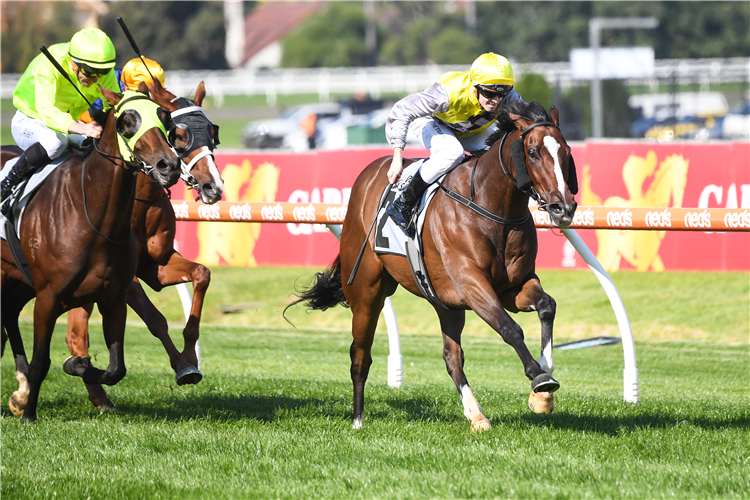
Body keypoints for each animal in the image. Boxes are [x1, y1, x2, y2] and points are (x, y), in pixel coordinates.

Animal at [0, 86, 181, 422]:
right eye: (127, 122)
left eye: (165, 118)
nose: (169, 166)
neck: (93, 219)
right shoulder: (48, 297)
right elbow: (41, 361)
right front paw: (30, 414)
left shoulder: (113, 297)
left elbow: (115, 369)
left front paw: (78, 364)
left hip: (19, 277)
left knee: (7, 309)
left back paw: (20, 390)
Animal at [62, 82, 223, 408]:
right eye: (179, 135)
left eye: (211, 132)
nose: (213, 186)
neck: (140, 201)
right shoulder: (125, 276)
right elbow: (155, 318)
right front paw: (184, 367)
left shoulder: (156, 266)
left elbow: (201, 273)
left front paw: (190, 356)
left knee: (75, 334)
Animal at [290, 100, 580, 430]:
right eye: (532, 152)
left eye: (566, 151)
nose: (563, 207)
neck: (492, 207)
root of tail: (367, 176)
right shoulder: (471, 283)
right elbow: (510, 328)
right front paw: (539, 377)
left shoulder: (514, 286)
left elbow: (547, 306)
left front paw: (544, 386)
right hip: (366, 292)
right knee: (360, 356)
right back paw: (358, 420)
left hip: (445, 302)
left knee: (452, 357)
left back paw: (476, 415)